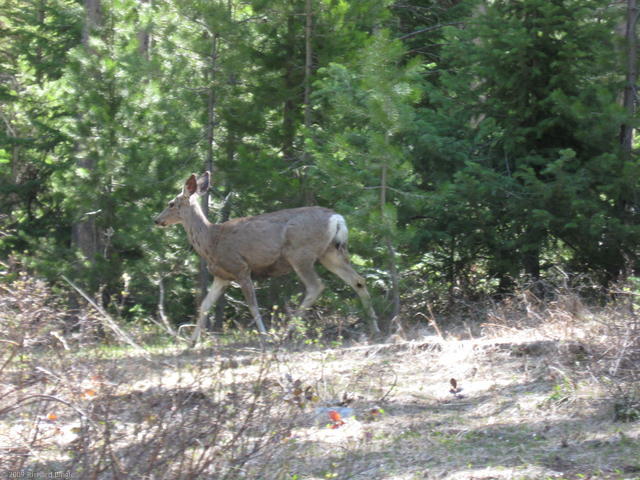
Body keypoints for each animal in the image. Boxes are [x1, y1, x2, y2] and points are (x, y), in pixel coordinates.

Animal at [154, 172, 380, 344]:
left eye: (171, 203)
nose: (157, 220)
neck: (211, 240)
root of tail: (337, 218)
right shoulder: (222, 275)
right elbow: (204, 306)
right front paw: (191, 342)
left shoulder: (240, 267)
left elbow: (253, 305)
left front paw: (263, 335)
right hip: (331, 253)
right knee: (358, 280)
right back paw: (375, 329)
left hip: (300, 252)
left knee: (316, 286)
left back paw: (288, 332)